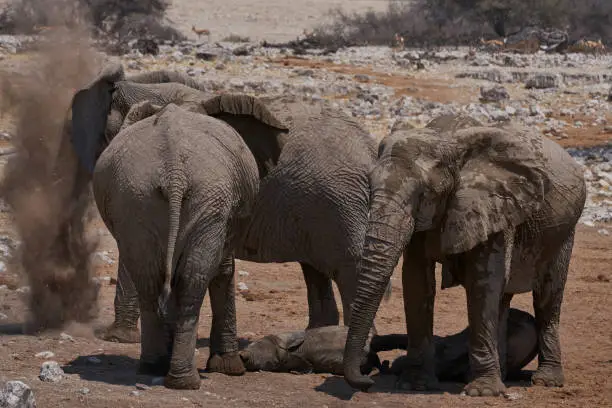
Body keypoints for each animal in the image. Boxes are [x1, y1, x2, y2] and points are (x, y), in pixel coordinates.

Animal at [342, 116, 584, 396]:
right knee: (503, 299)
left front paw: (483, 392)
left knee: (547, 298)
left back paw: (546, 381)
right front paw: (415, 385)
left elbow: (484, 281)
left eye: (423, 194)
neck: (447, 140)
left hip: (564, 233)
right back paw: (498, 374)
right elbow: (416, 280)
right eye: (369, 186)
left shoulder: (491, 206)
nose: (368, 379)